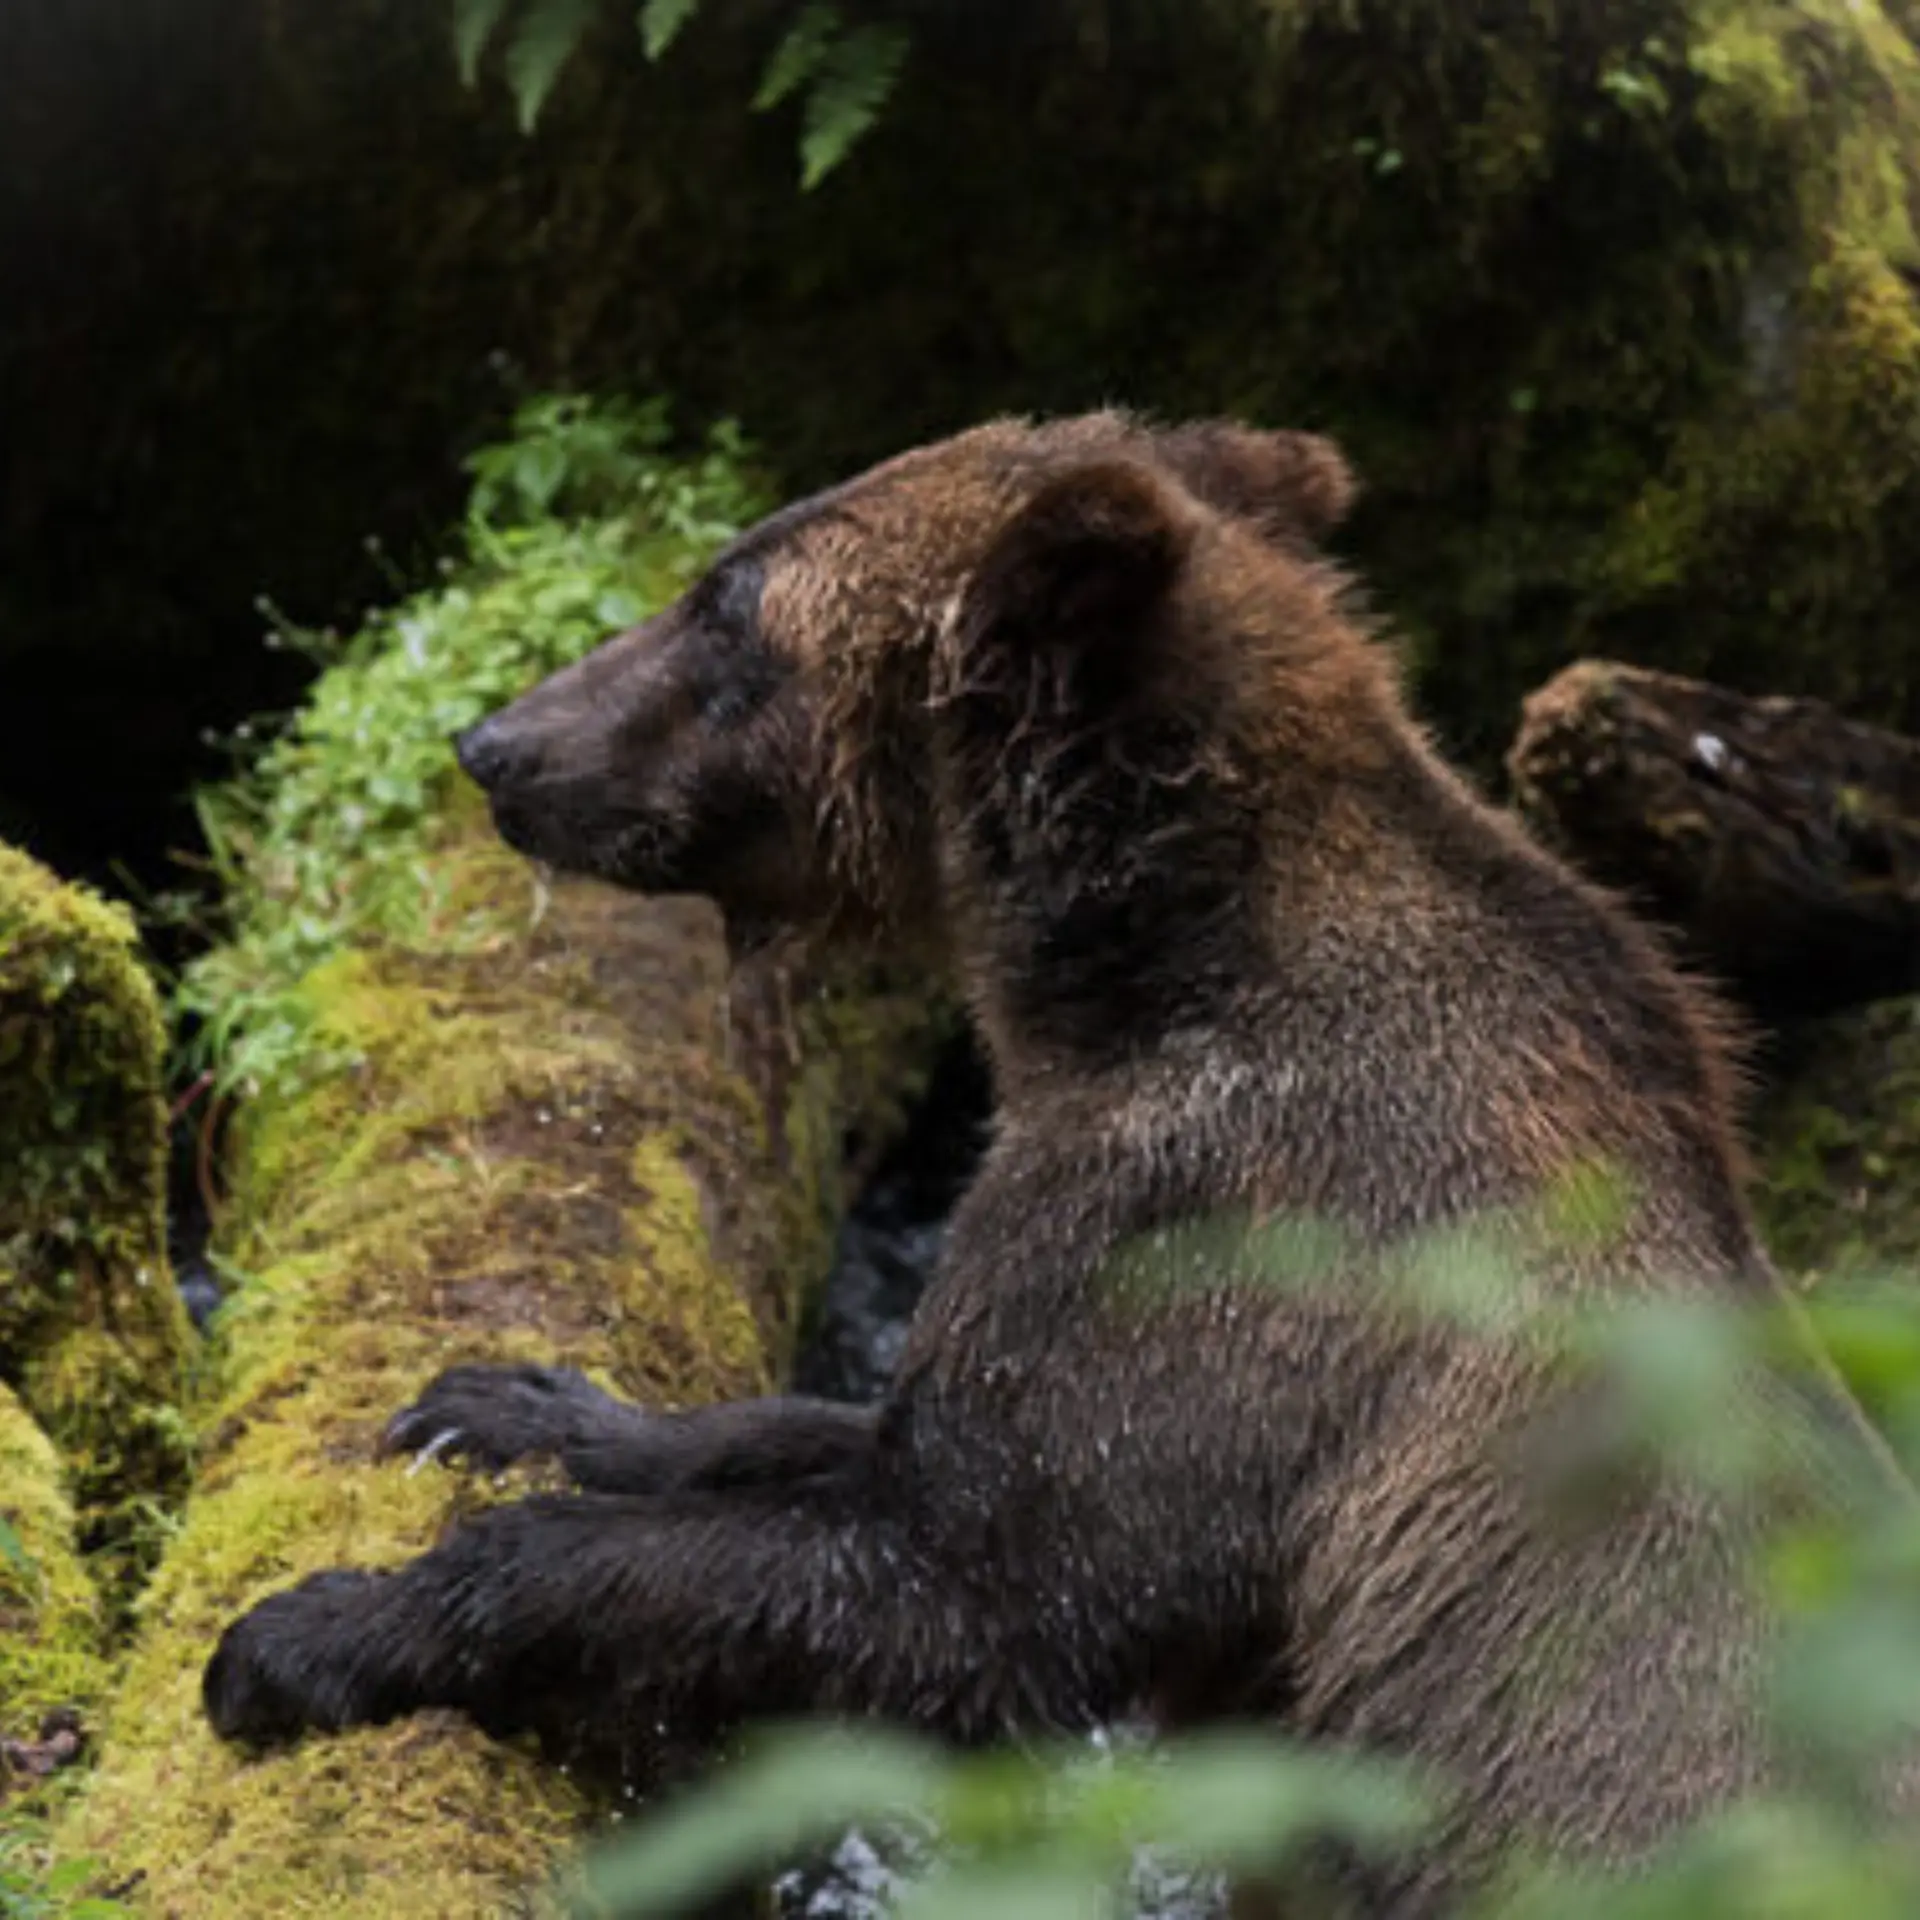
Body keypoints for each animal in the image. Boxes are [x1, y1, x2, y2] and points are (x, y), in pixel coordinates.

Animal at [204, 411, 1799, 1913]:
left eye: (729, 613)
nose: (496, 744)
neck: (1135, 981)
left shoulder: (1237, 1235)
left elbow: (973, 1590)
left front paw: (303, 1635)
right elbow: (850, 1439)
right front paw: (505, 1403)